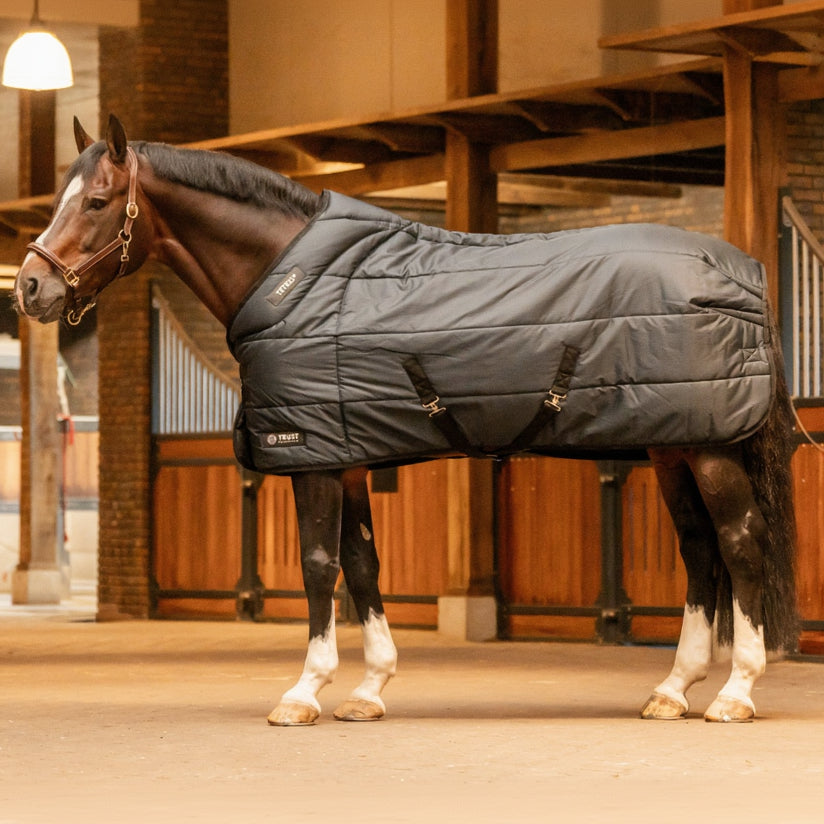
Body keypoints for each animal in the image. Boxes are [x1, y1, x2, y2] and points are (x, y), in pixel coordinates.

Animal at [14, 115, 798, 725]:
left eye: (99, 201)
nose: (31, 287)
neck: (293, 277)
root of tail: (745, 270)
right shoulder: (349, 454)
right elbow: (363, 564)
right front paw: (369, 689)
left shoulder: (313, 457)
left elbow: (319, 565)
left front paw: (304, 691)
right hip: (674, 446)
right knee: (699, 551)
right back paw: (672, 689)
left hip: (708, 448)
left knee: (740, 544)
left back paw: (735, 692)